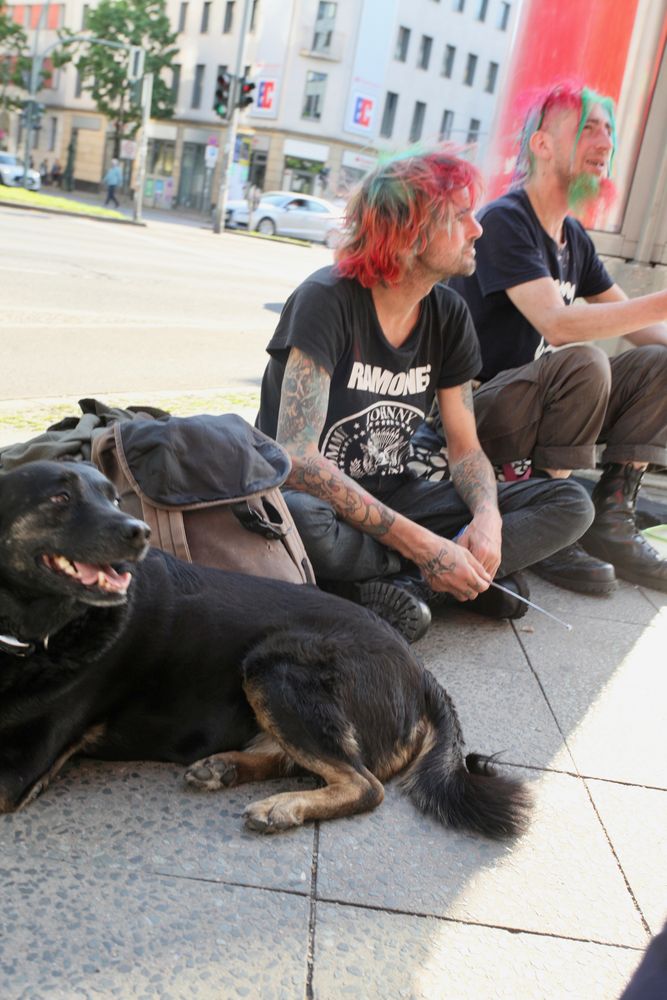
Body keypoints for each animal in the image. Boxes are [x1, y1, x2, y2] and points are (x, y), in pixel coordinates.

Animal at [0, 460, 532, 836]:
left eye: (114, 498)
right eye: (60, 496)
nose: (139, 532)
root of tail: (422, 673)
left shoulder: (19, 768)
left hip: (274, 664)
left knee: (365, 785)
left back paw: (283, 808)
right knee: (303, 760)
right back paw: (225, 767)